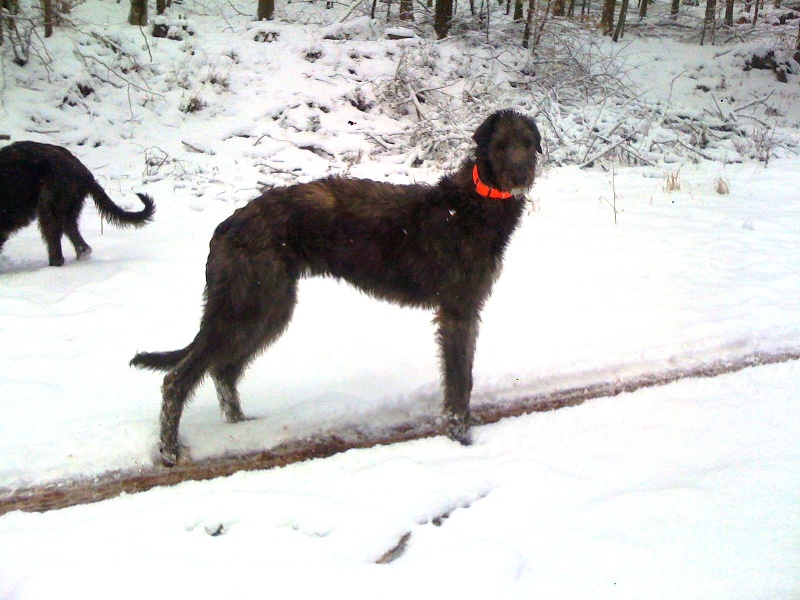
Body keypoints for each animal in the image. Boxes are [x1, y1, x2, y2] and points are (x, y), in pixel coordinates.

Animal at [131, 109, 542, 466]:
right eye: (500, 144)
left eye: (528, 142)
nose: (522, 176)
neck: (474, 205)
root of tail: (226, 225)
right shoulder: (457, 310)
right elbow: (459, 381)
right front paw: (460, 436)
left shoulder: (466, 309)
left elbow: (464, 377)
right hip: (247, 304)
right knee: (177, 379)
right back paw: (169, 451)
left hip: (269, 307)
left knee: (224, 371)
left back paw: (241, 427)